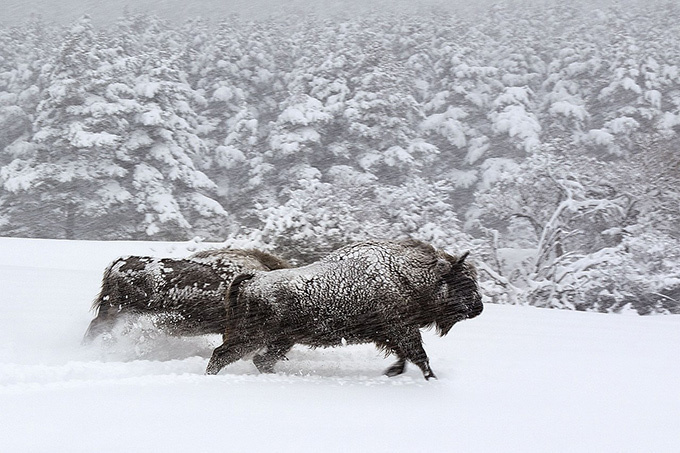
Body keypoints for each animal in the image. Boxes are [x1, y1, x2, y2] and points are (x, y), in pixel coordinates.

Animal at [207, 238, 484, 380]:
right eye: (464, 281)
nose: (479, 307)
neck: (402, 275)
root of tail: (254, 278)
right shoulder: (402, 330)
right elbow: (418, 355)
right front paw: (430, 378)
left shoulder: (393, 334)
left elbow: (406, 356)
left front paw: (392, 372)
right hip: (253, 336)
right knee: (222, 354)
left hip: (281, 340)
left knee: (261, 360)